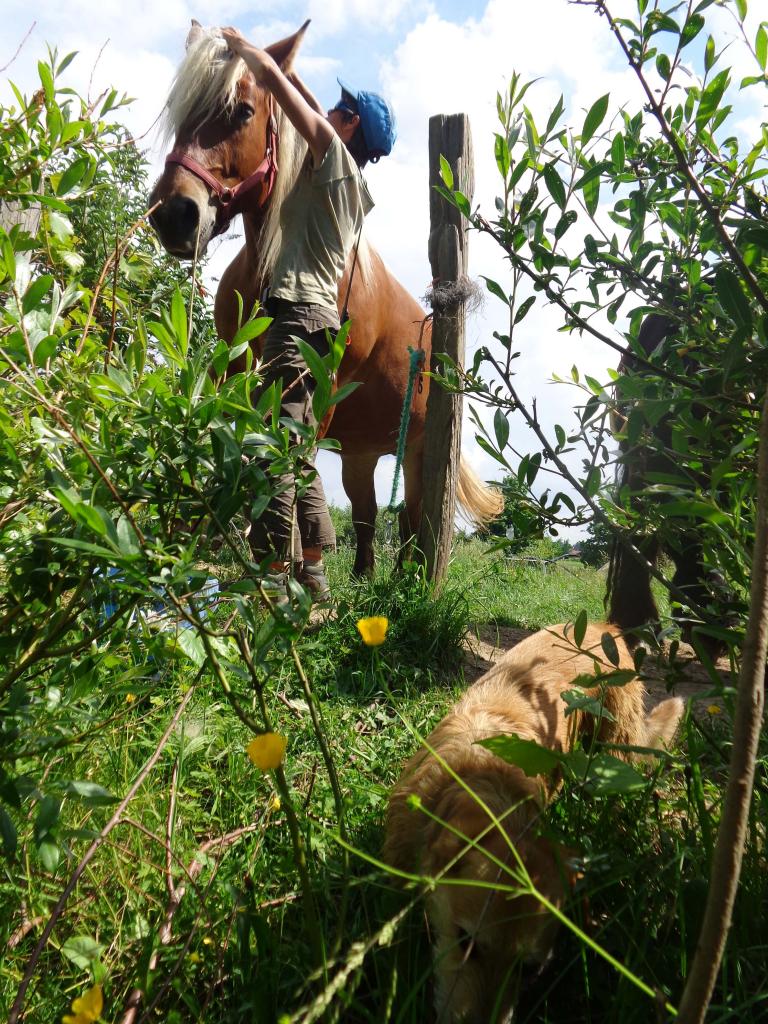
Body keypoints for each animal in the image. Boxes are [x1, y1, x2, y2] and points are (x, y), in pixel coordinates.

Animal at [149, 20, 501, 576]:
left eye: (242, 111)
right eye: (182, 110)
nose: (174, 214)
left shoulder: (317, 381)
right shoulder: (234, 367)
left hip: (419, 454)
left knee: (411, 522)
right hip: (360, 454)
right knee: (367, 517)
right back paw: (361, 580)